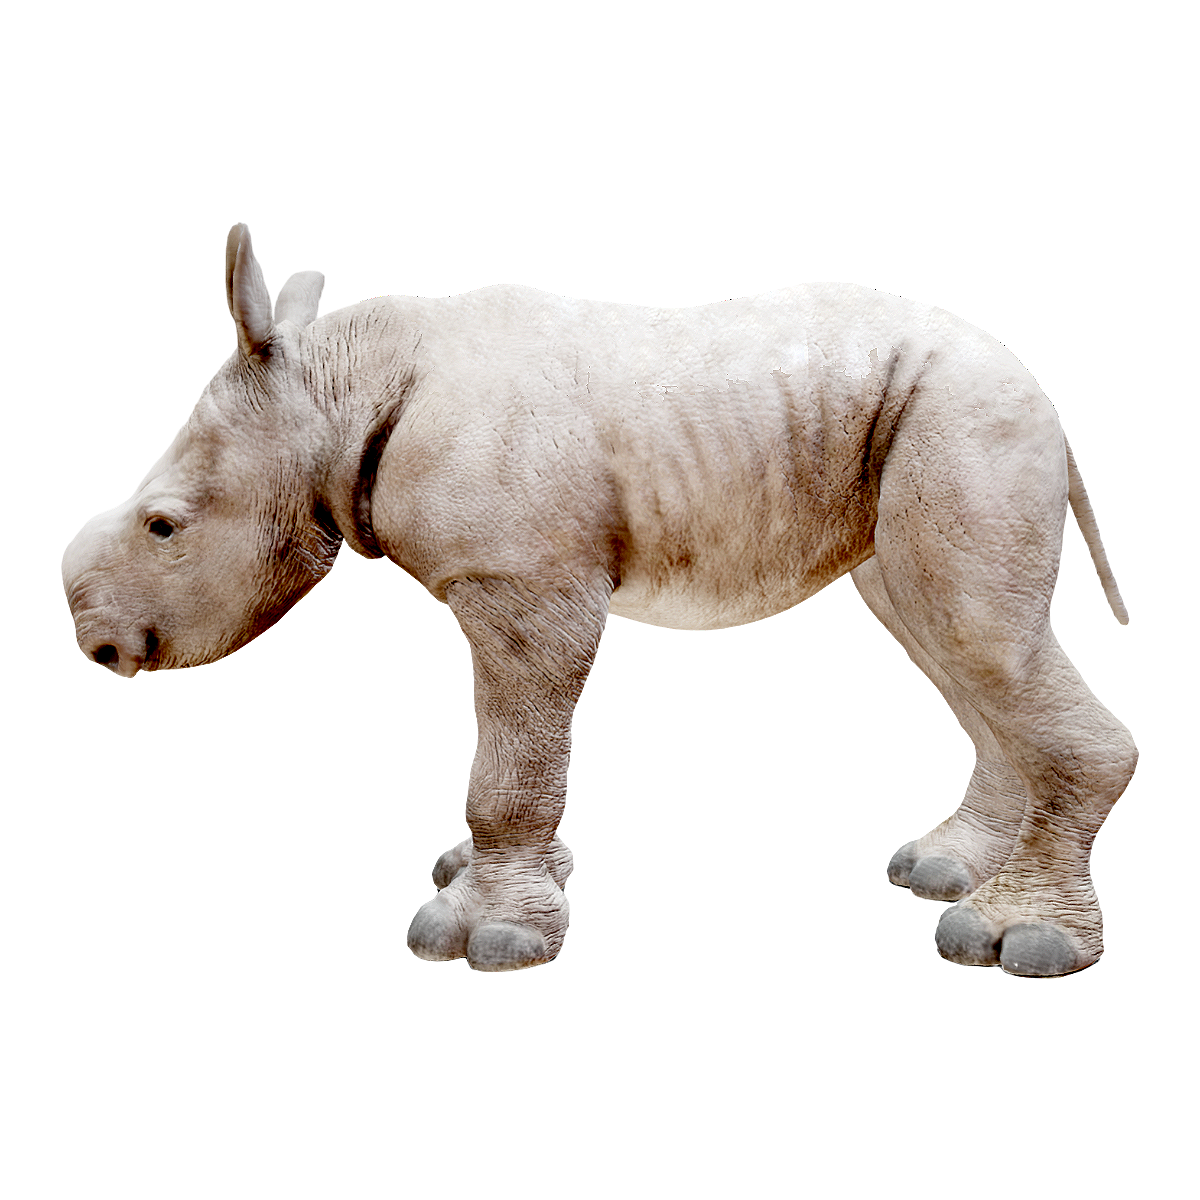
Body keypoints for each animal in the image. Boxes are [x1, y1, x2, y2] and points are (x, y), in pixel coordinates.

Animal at [62, 223, 1137, 977]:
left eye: (162, 527)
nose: (98, 646)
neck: (333, 393)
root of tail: (1045, 394)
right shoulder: (515, 572)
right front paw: (485, 898)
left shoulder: (523, 581)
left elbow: (507, 770)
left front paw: (482, 939)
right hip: (926, 418)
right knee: (949, 635)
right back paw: (948, 877)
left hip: (962, 416)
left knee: (973, 635)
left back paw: (1013, 940)